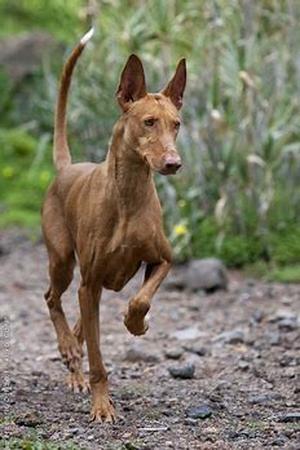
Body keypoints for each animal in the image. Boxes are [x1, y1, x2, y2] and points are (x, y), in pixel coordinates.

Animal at [42, 29, 185, 422]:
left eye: (177, 124)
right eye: (148, 121)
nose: (174, 163)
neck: (129, 196)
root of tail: (67, 168)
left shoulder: (163, 260)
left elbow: (140, 299)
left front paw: (135, 323)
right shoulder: (89, 282)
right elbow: (97, 359)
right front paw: (102, 406)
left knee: (79, 320)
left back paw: (74, 359)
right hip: (63, 262)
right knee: (53, 299)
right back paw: (69, 351)